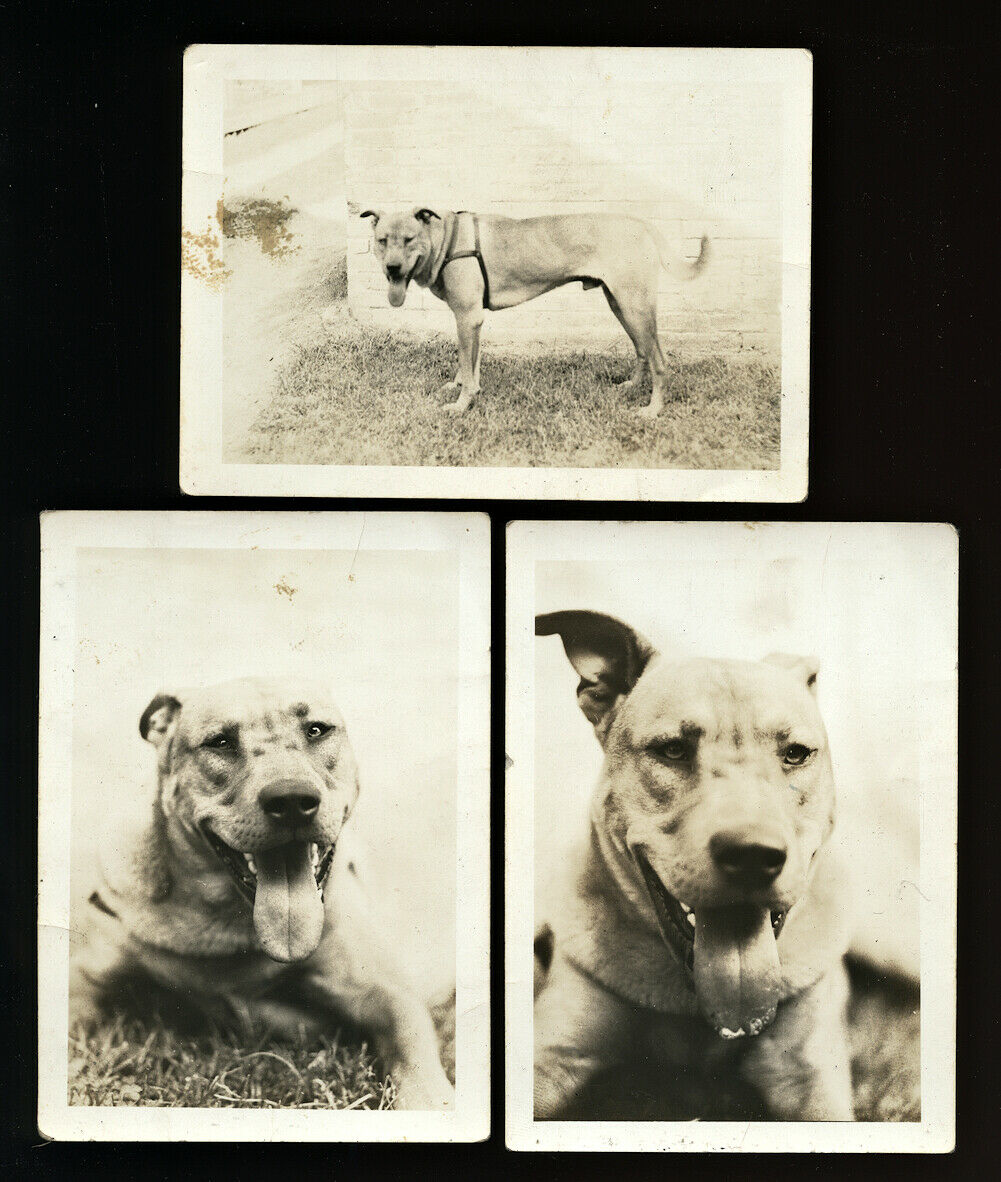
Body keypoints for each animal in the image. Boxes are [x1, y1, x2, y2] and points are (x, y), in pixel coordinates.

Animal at [72, 680, 456, 1111]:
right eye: (220, 742)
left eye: (317, 730)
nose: (291, 800)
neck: (224, 920)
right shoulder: (85, 977)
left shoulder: (389, 996)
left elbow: (417, 1061)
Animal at [363, 206, 709, 416]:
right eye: (382, 240)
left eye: (409, 239)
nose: (392, 268)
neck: (447, 240)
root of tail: (643, 225)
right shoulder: (473, 320)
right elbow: (471, 362)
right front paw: (464, 387)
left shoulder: (467, 316)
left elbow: (465, 361)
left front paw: (461, 405)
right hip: (621, 305)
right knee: (642, 351)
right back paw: (632, 386)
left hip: (634, 306)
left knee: (660, 360)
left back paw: (653, 409)